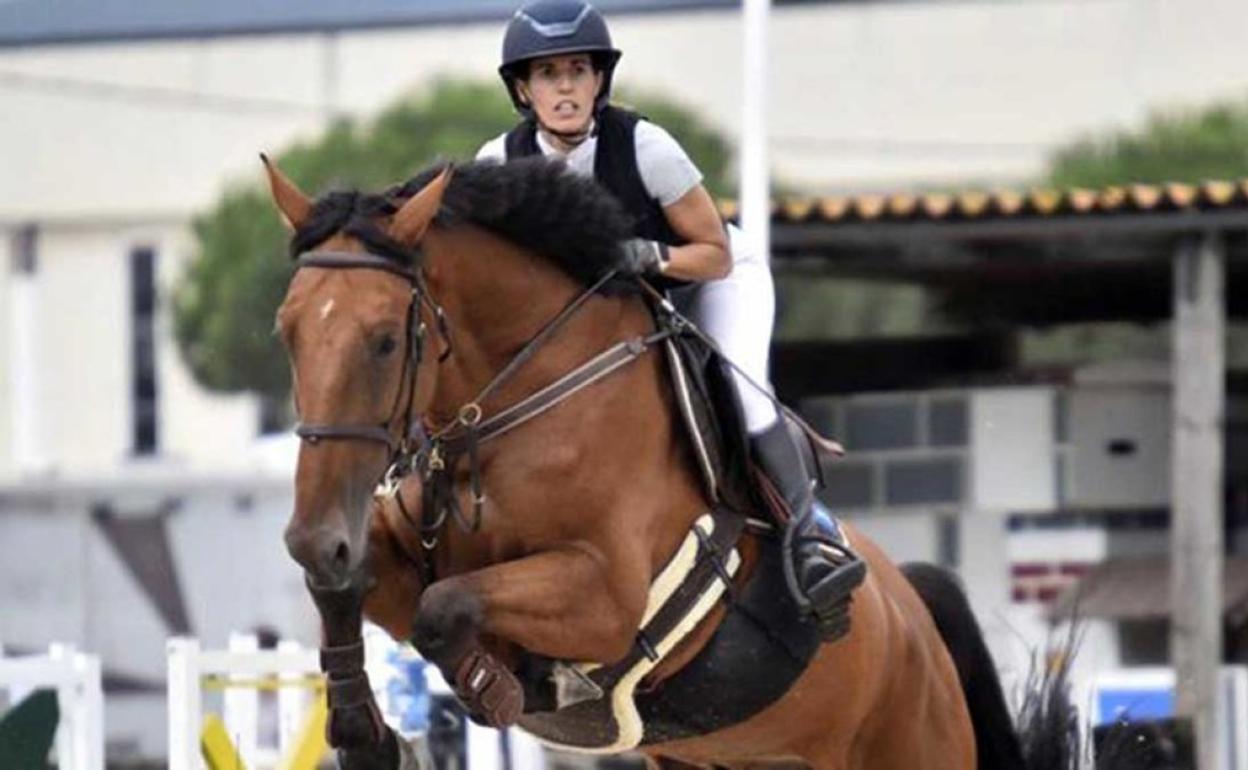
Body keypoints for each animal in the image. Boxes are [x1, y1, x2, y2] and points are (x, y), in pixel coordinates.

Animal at [260, 155, 1073, 768]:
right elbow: (350, 586)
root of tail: (912, 610)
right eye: (286, 331)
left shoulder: (604, 595)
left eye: (383, 341)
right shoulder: (397, 550)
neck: (510, 408)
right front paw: (365, 737)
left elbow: (447, 606)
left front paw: (499, 687)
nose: (313, 534)